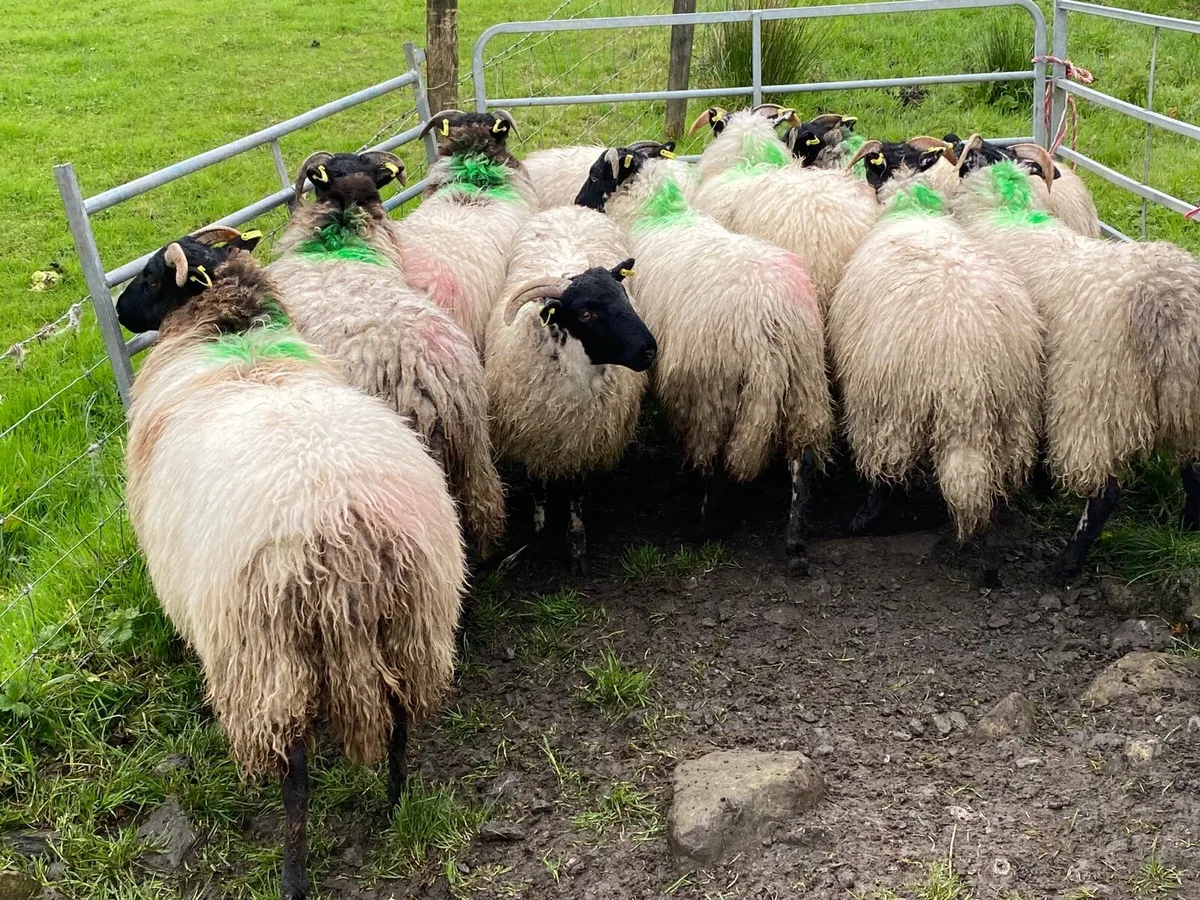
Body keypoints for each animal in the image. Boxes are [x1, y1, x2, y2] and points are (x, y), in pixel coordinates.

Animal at [117, 229, 465, 900]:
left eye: (149, 278)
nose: (120, 312)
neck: (229, 334)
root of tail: (349, 544)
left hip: (269, 654)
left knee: (296, 772)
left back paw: (294, 873)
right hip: (414, 623)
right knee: (402, 720)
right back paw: (394, 803)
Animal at [487, 204, 657, 571]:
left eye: (624, 296)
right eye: (586, 314)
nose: (649, 351)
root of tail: (572, 208)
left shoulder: (584, 442)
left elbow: (576, 495)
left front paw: (576, 544)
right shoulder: (531, 441)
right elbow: (537, 490)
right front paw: (538, 534)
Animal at [576, 146, 833, 570]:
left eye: (597, 176)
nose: (577, 205)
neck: (656, 211)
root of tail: (770, 320)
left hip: (714, 387)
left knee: (714, 459)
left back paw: (702, 526)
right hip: (805, 379)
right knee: (805, 459)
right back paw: (795, 542)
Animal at [827, 173, 1044, 584]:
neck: (914, 209)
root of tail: (966, 371)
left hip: (890, 408)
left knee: (885, 468)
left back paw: (864, 518)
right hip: (1010, 420)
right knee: (989, 484)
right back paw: (990, 562)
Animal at [947, 136, 1200, 578]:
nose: (953, 140)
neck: (999, 207)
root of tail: (1170, 304)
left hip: (1096, 401)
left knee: (1105, 493)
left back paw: (1066, 563)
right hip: (1185, 401)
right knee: (1195, 468)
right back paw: (1189, 526)